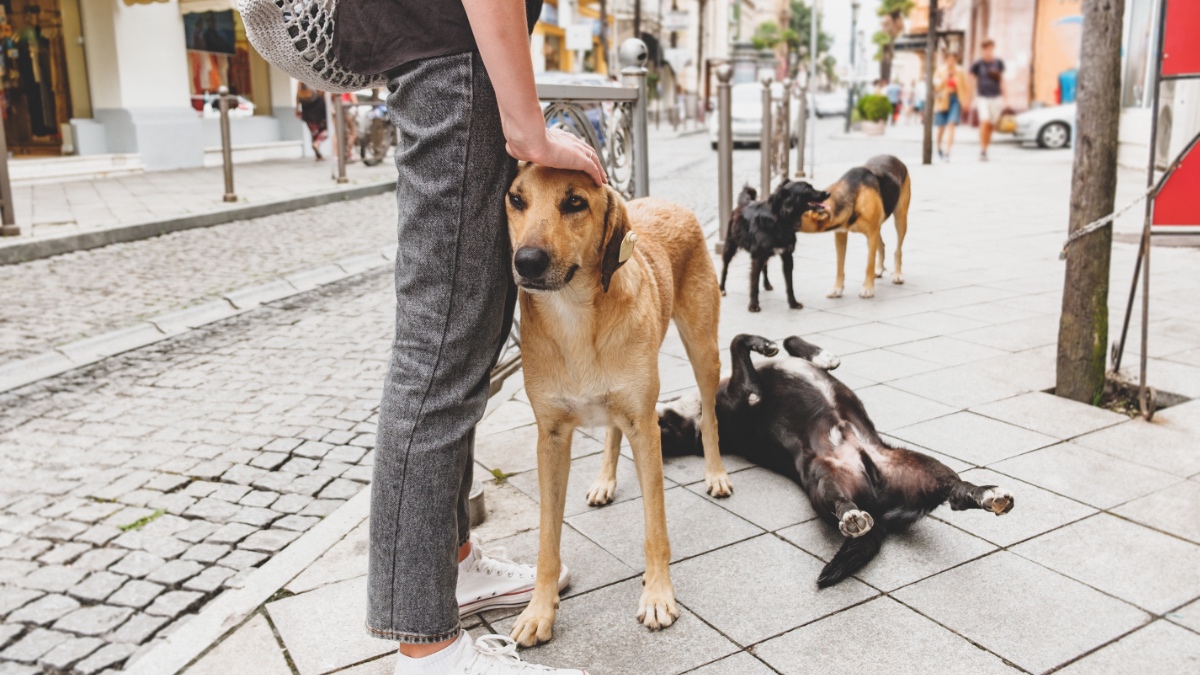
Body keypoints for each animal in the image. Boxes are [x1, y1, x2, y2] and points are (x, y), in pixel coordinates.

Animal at [501, 164, 724, 648]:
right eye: (516, 199)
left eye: (575, 203)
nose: (526, 261)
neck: (574, 316)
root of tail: (668, 203)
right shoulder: (550, 438)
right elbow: (547, 541)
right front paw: (538, 610)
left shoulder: (646, 426)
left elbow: (655, 528)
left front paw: (657, 595)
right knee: (611, 429)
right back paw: (604, 481)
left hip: (704, 351)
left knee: (711, 415)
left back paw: (716, 474)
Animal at [657, 333, 1012, 586]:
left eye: (663, 428)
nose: (653, 418)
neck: (698, 417)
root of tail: (879, 507)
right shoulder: (748, 388)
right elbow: (737, 340)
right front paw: (765, 344)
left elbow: (789, 342)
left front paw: (819, 354)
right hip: (824, 482)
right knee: (843, 505)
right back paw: (852, 518)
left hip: (919, 465)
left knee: (956, 490)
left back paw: (987, 495)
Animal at [715, 181, 830, 312]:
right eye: (807, 189)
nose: (828, 193)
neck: (781, 219)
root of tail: (745, 202)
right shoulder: (757, 256)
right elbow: (754, 283)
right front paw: (753, 305)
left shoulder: (787, 256)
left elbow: (789, 284)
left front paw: (793, 303)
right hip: (730, 246)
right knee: (725, 267)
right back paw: (722, 289)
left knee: (764, 268)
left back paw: (767, 284)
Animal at [801, 156, 912, 297]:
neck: (852, 195)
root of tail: (895, 159)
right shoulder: (841, 235)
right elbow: (839, 265)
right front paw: (837, 288)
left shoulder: (871, 234)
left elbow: (869, 265)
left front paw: (867, 288)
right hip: (878, 227)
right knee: (881, 245)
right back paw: (879, 269)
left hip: (900, 218)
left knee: (898, 250)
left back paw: (897, 274)